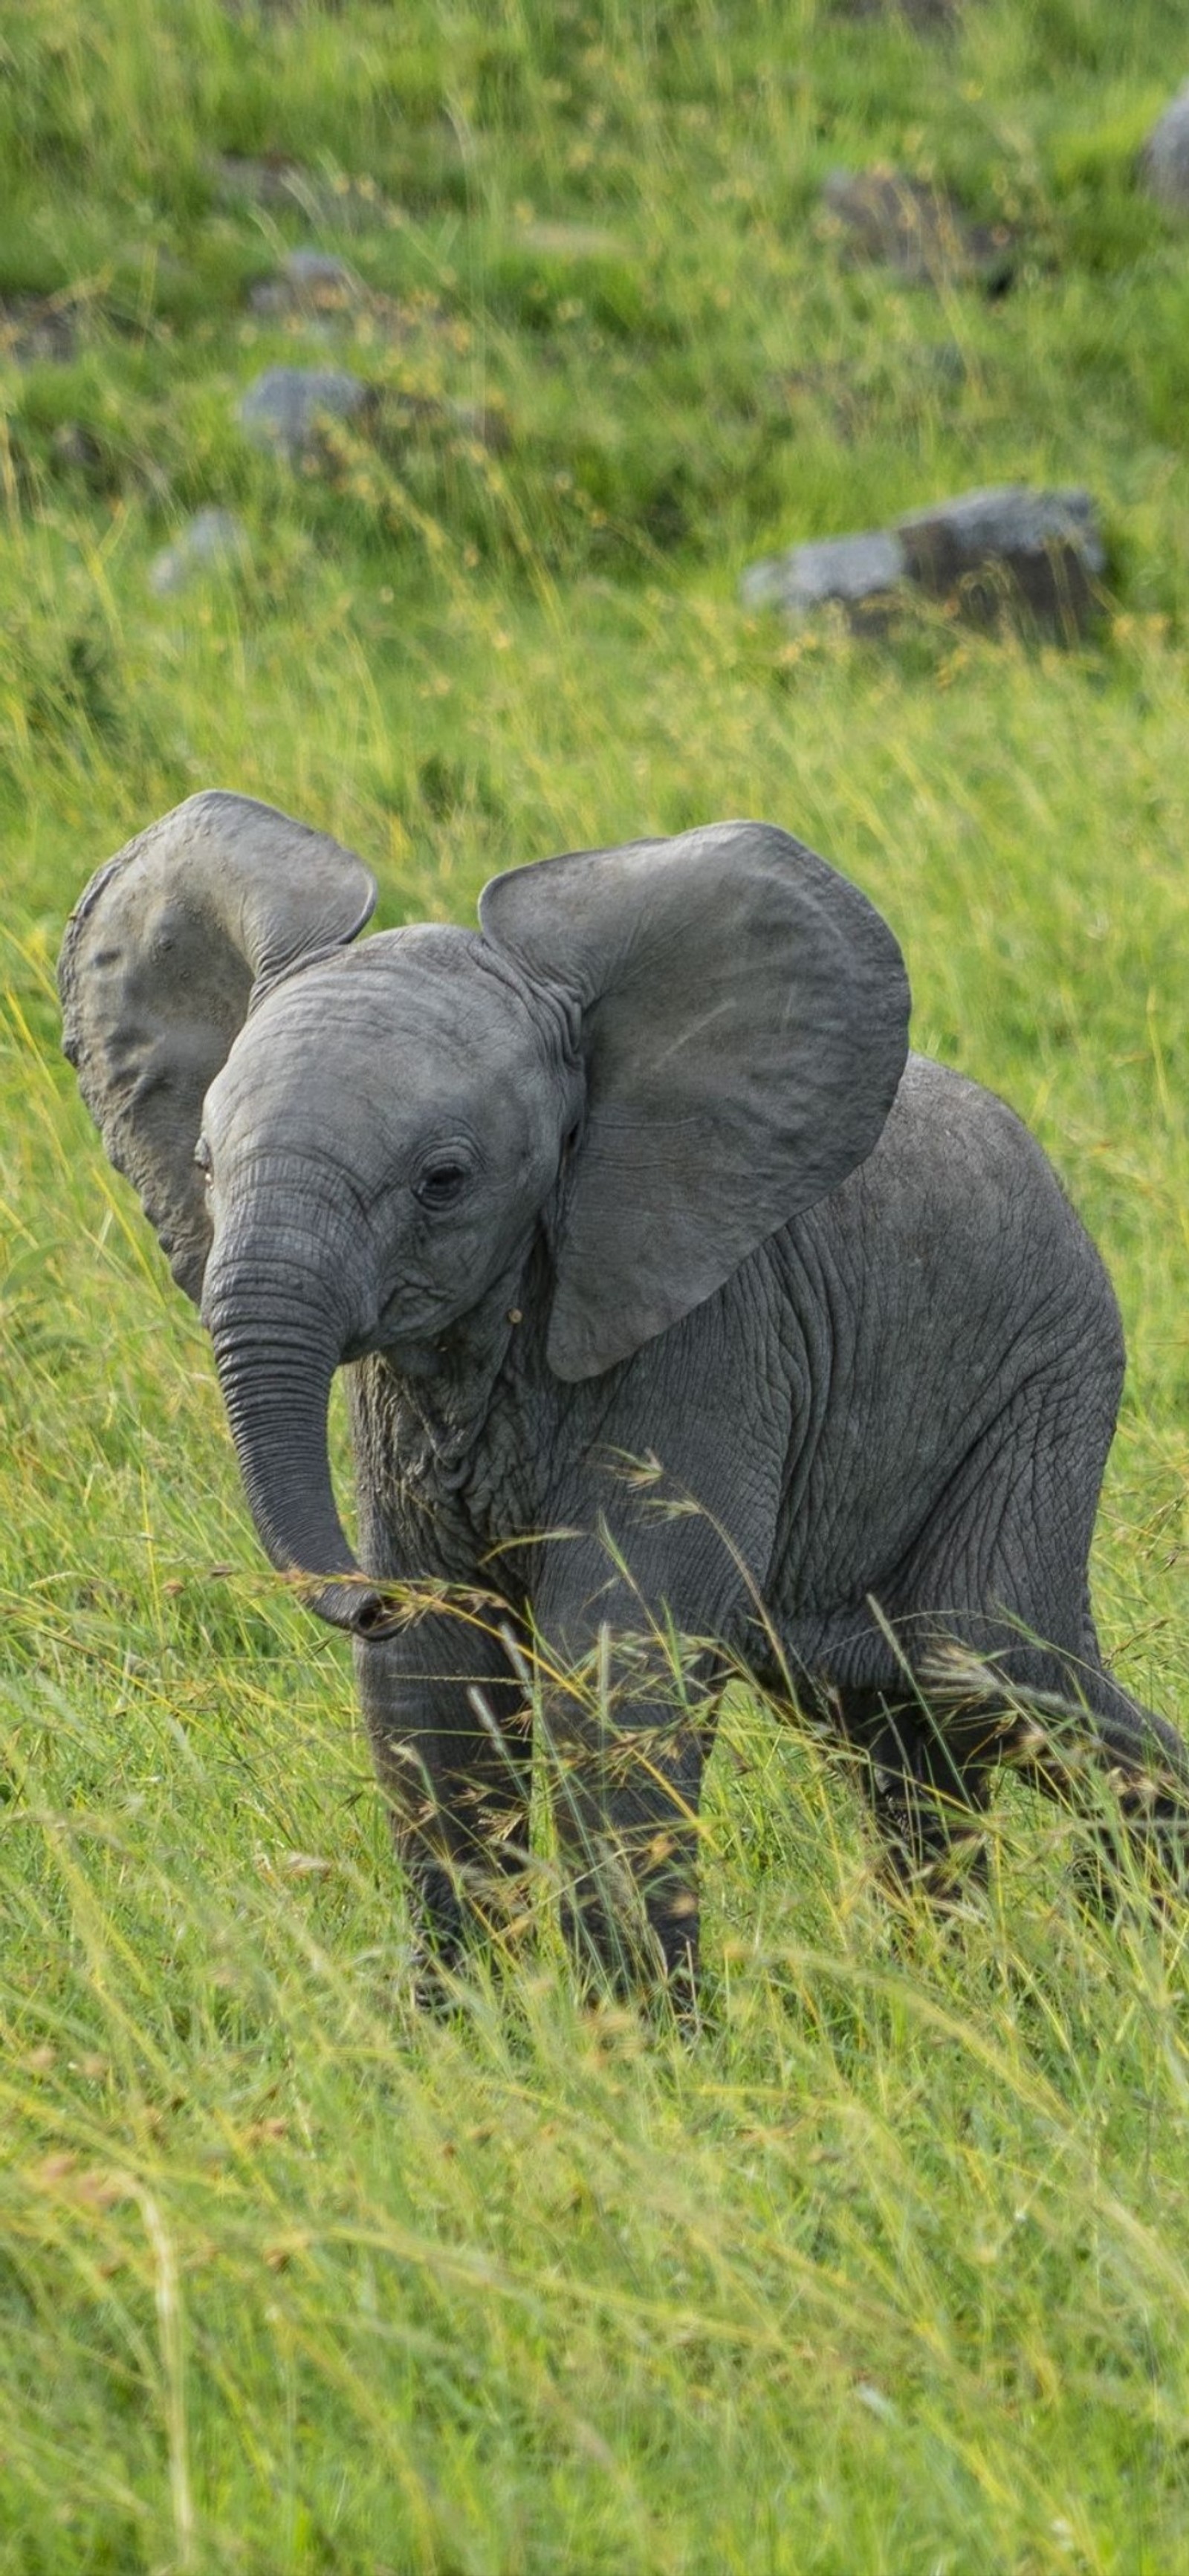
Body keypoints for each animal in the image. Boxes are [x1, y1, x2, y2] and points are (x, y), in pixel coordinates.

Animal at [60, 793, 1181, 1999]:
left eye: (443, 1181)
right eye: (204, 1164)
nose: (366, 1596)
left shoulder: (711, 1336)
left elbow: (612, 1667)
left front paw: (634, 2034)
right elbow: (436, 1682)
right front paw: (459, 2022)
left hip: (1045, 1380)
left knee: (991, 1667)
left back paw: (1124, 1947)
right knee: (901, 1726)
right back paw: (950, 1980)